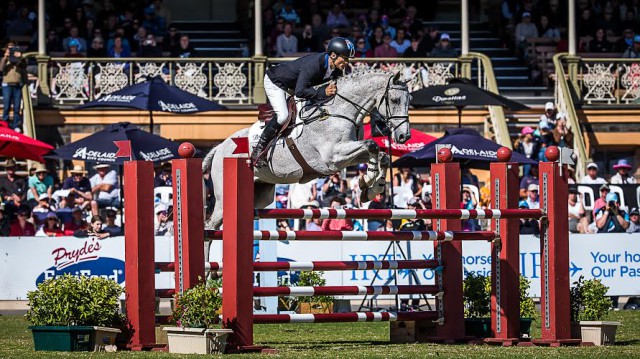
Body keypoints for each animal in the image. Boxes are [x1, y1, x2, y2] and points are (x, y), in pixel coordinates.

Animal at [205, 69, 416, 229]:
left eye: (409, 100)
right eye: (395, 100)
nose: (404, 136)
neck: (338, 111)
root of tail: (220, 147)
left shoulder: (348, 155)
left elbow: (380, 155)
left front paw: (370, 187)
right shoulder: (332, 158)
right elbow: (372, 145)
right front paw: (368, 182)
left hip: (261, 193)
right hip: (224, 199)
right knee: (211, 225)